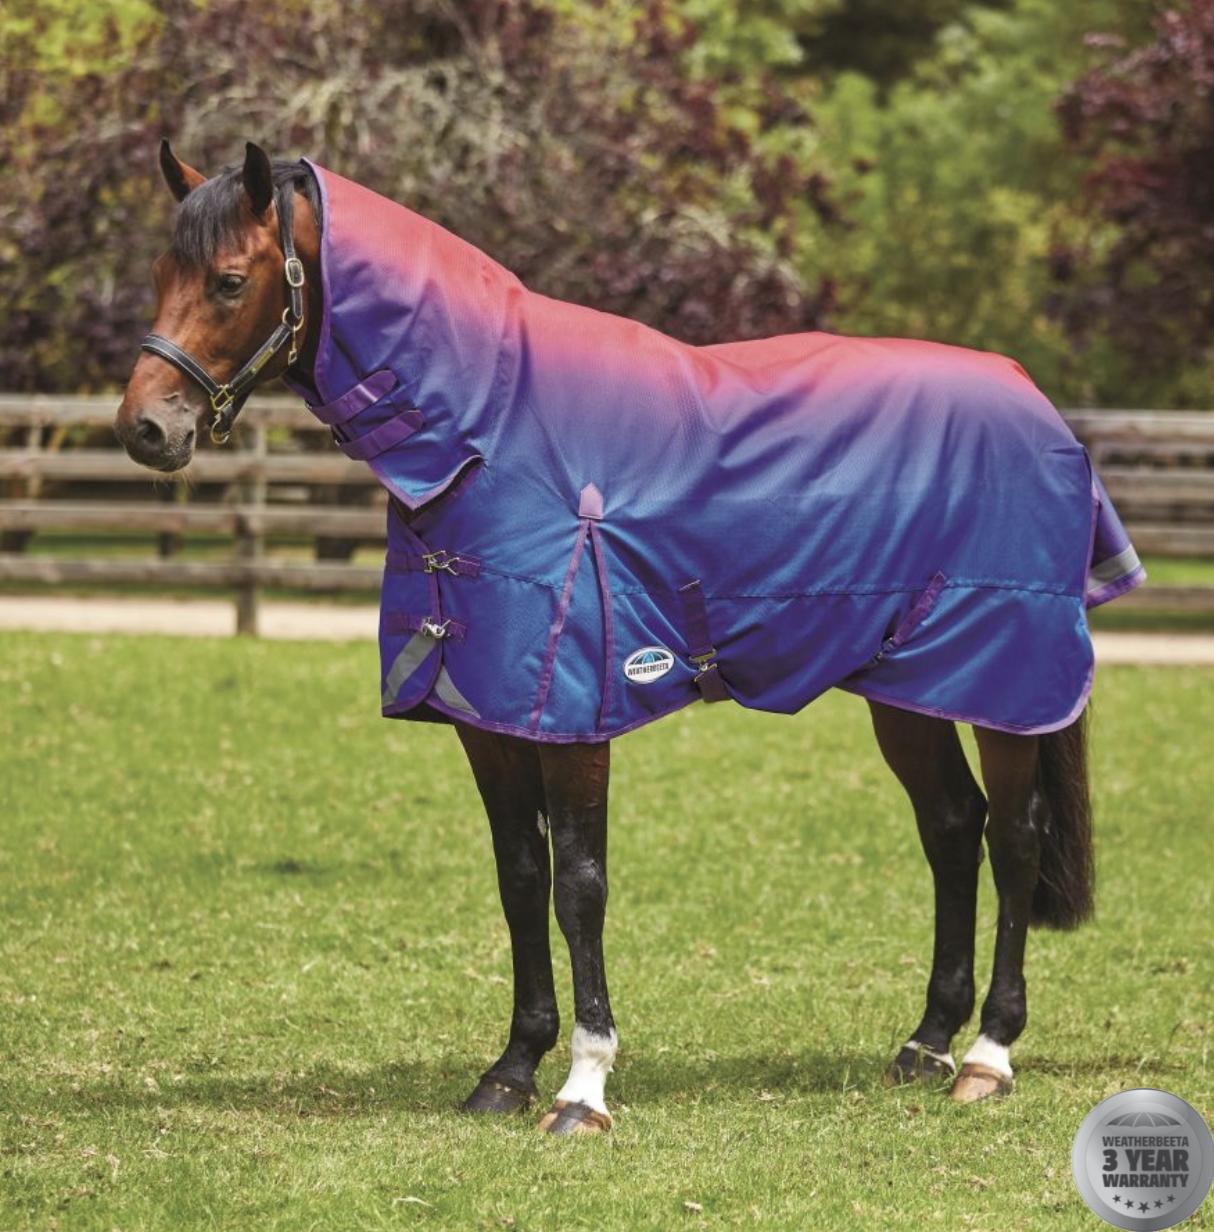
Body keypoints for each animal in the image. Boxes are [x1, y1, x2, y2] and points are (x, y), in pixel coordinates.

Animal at [115, 142, 1144, 1135]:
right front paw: (511, 1069)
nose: (145, 429)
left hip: (1005, 687)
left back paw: (988, 1056)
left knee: (1013, 836)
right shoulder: (490, 717)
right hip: (912, 689)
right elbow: (520, 877)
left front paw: (584, 1089)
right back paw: (926, 1042)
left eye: (230, 281)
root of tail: (1038, 404)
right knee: (952, 827)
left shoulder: (578, 715)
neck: (490, 432)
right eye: (161, 270)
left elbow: (580, 886)